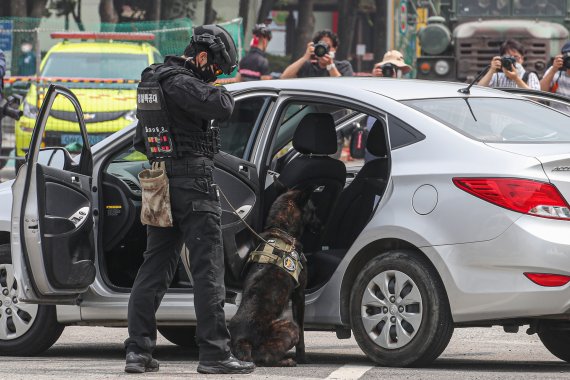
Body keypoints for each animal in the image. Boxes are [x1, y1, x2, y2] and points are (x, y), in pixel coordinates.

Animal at [230, 187, 320, 366]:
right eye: (313, 210)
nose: (321, 224)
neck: (281, 229)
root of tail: (242, 340)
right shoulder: (299, 295)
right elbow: (302, 334)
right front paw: (303, 358)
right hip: (289, 327)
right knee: (263, 357)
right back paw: (287, 361)